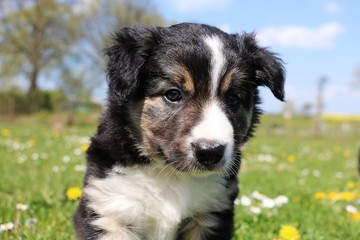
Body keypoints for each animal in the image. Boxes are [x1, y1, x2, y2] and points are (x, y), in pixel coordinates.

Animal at [74, 21, 284, 239]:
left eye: (233, 98)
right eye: (173, 94)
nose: (210, 152)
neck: (171, 175)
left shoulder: (211, 214)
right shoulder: (110, 210)